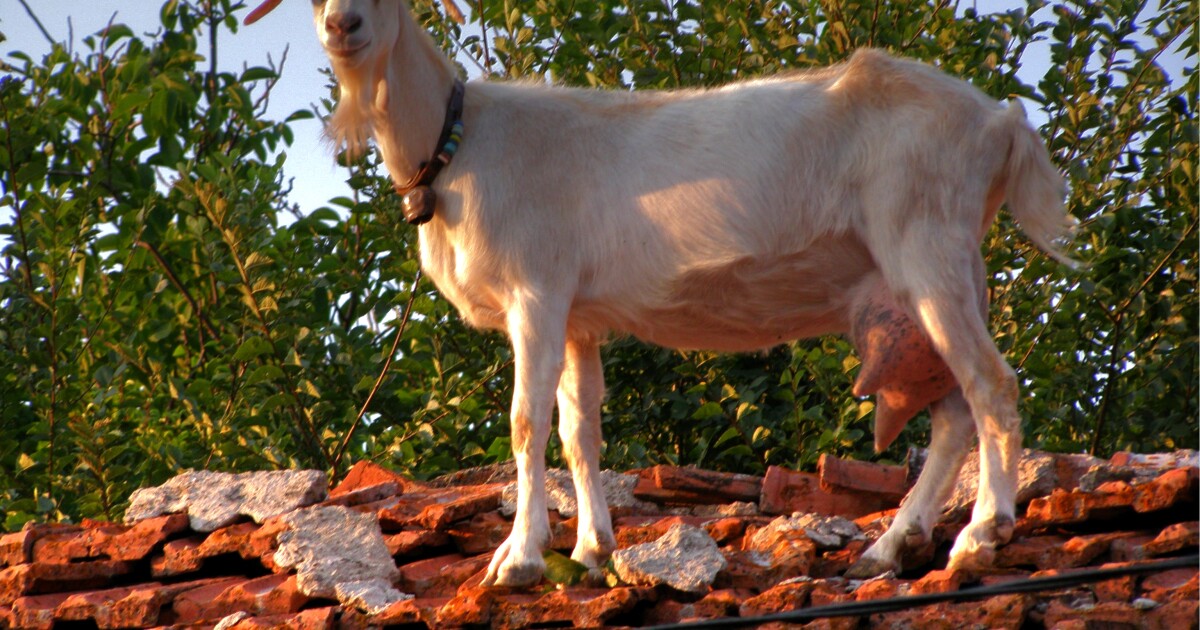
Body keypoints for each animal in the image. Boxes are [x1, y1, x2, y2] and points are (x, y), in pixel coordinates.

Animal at [245, 0, 1077, 587]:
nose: (343, 24)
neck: (458, 140)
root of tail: (1001, 122)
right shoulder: (578, 316)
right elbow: (580, 430)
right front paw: (589, 549)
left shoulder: (535, 293)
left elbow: (525, 424)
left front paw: (518, 560)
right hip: (930, 279)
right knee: (952, 412)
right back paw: (893, 546)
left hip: (928, 249)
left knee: (991, 386)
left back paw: (980, 536)